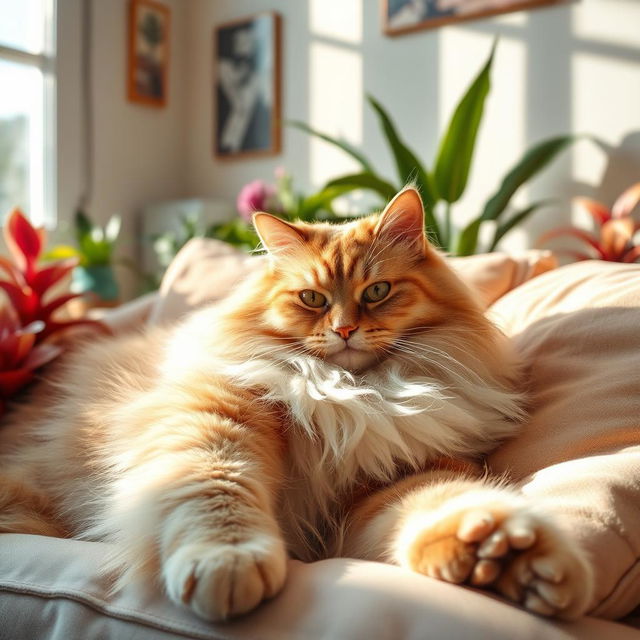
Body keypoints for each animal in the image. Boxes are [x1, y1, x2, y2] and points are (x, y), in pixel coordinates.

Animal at [0, 189, 596, 620]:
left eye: (377, 292)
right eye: (312, 299)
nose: (345, 329)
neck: (352, 394)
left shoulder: (393, 476)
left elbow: (442, 507)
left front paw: (501, 554)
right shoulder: (216, 419)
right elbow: (217, 493)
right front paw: (229, 563)